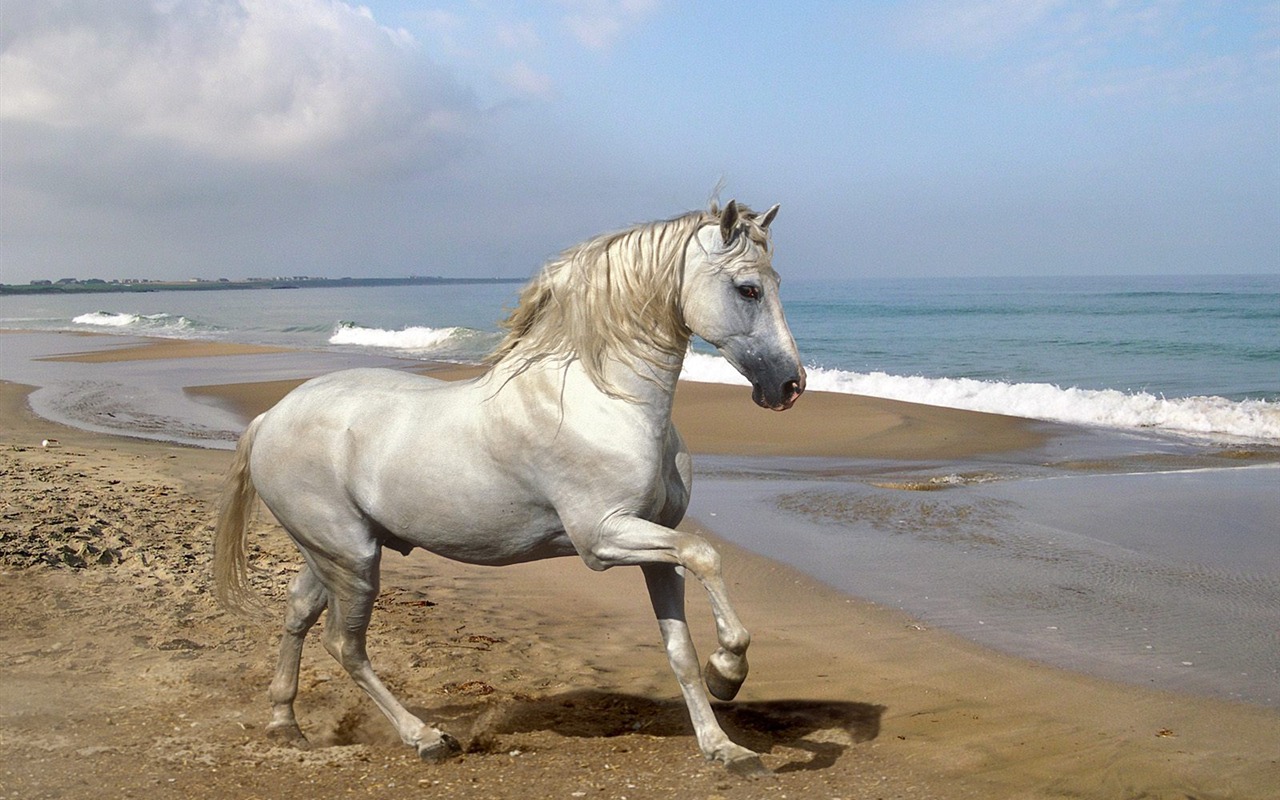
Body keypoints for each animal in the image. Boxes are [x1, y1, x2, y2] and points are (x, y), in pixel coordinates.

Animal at [215, 199, 803, 773]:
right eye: (748, 288)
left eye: (776, 282)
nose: (789, 385)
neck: (604, 400)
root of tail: (270, 417)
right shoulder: (603, 539)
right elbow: (707, 555)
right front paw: (728, 671)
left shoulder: (657, 547)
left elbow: (680, 649)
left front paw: (724, 747)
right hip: (352, 558)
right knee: (345, 644)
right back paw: (425, 738)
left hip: (333, 553)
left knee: (298, 612)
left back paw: (285, 724)